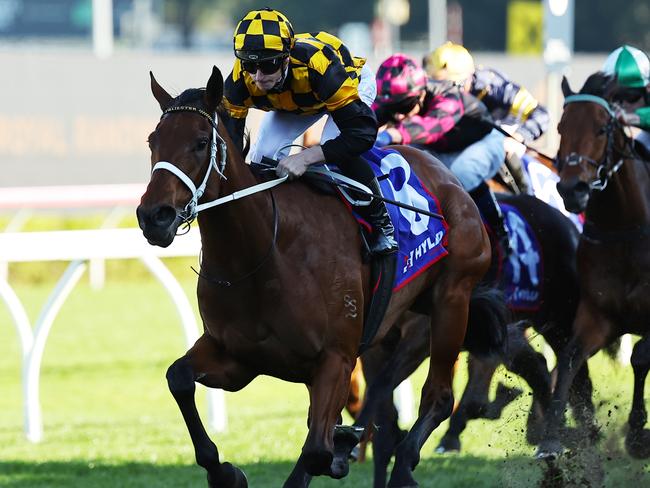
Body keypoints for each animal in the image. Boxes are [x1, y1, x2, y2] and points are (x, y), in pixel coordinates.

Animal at [134, 66, 494, 488]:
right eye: (153, 141)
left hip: (452, 299)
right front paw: (226, 473)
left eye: (201, 142)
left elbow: (317, 450)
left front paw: (339, 447)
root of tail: (446, 176)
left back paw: (403, 465)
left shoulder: (335, 358)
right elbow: (178, 377)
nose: (153, 216)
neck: (263, 254)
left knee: (438, 396)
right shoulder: (238, 358)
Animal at [352, 193, 588, 486]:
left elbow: (383, 388)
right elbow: (382, 419)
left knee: (573, 368)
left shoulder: (424, 332)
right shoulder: (375, 344)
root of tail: (566, 223)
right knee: (538, 366)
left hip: (559, 318)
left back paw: (569, 437)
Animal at [532, 70, 648, 460]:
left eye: (601, 129)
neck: (625, 229)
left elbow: (641, 356)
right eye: (561, 126)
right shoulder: (598, 316)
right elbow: (570, 358)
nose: (573, 189)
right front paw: (549, 440)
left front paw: (636, 434)